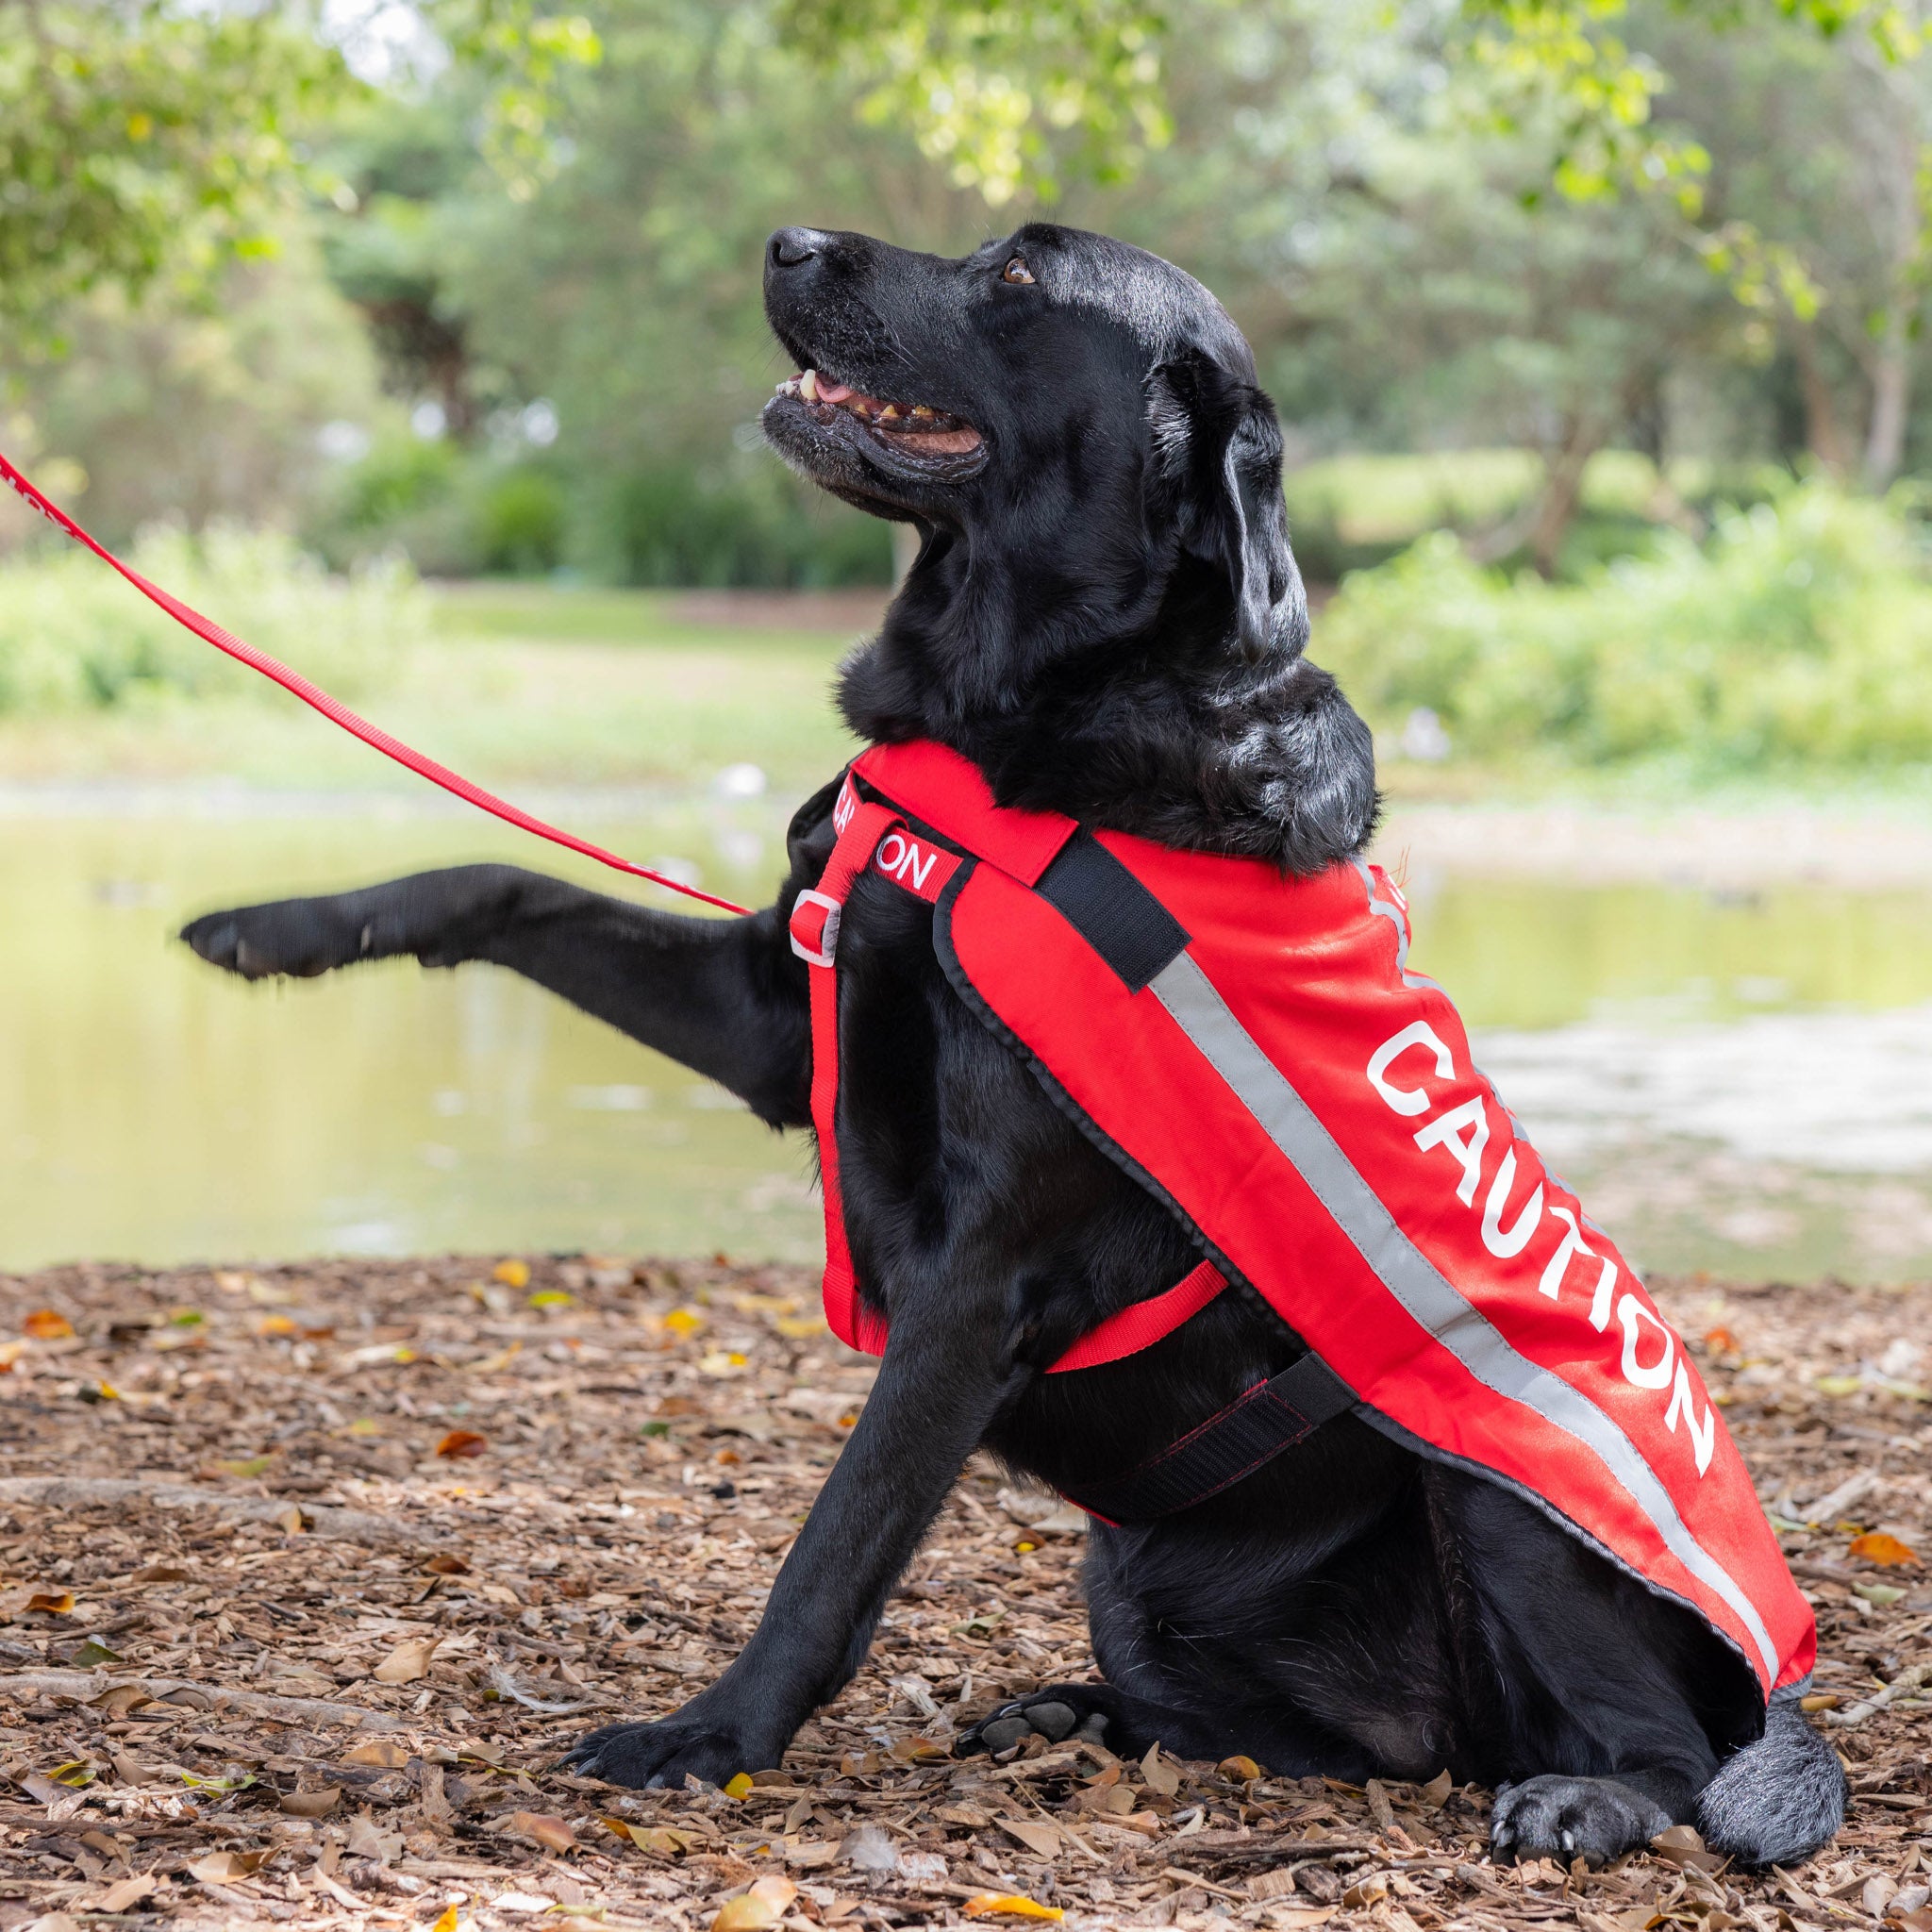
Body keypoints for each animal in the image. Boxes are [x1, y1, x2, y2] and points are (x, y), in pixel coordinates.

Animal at [181, 225, 1839, 1870]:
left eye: (1023, 281)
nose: (786, 239)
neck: (1028, 732)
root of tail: (1780, 1683)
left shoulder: (981, 1280)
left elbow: (834, 1545)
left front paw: (709, 1739)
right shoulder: (775, 1018)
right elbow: (495, 881)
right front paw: (276, 925)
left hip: (1501, 1487)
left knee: (1657, 1754)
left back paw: (1580, 1799)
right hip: (1139, 1580)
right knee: (1354, 1751)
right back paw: (1081, 1719)